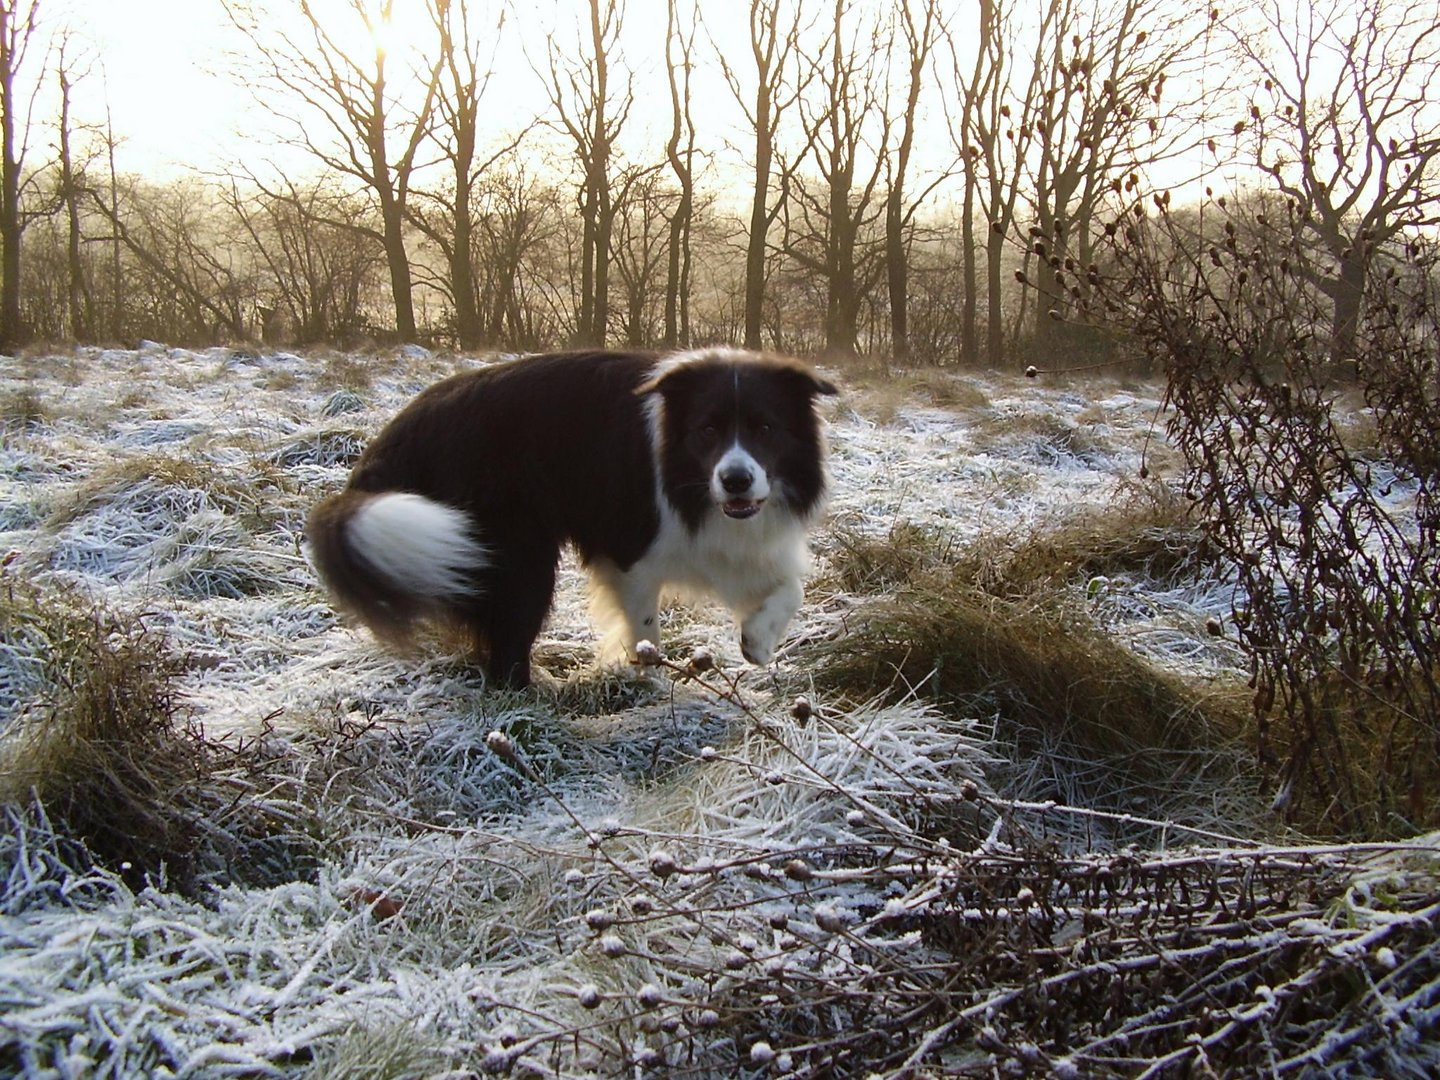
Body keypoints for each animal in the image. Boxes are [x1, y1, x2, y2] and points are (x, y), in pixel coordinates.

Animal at [309, 351, 840, 688]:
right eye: (707, 430)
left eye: (765, 428)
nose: (735, 481)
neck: (689, 484)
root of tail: (390, 442)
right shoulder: (632, 551)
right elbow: (645, 631)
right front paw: (650, 686)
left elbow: (792, 587)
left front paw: (759, 642)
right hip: (515, 557)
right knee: (508, 647)